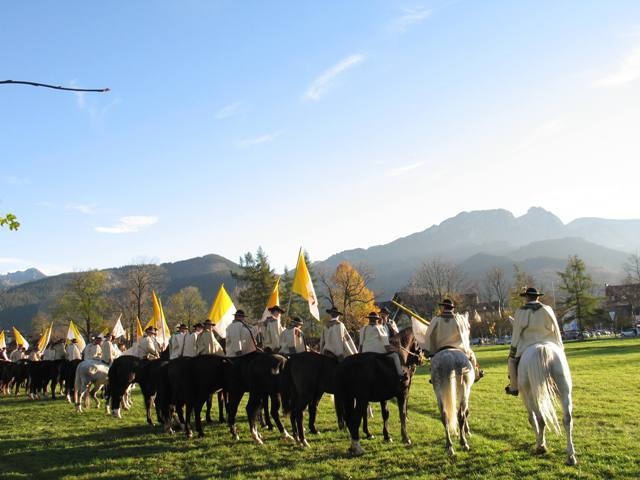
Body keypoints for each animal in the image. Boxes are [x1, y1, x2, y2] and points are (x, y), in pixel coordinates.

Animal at [336, 328, 420, 456]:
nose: (419, 359)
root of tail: (344, 365)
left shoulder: (383, 396)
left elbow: (385, 413)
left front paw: (387, 436)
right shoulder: (402, 394)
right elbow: (402, 413)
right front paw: (405, 438)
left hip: (349, 398)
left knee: (350, 418)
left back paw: (354, 445)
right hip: (361, 399)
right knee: (355, 419)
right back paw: (357, 447)